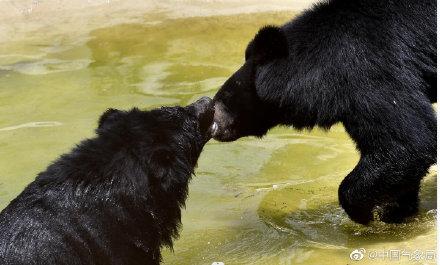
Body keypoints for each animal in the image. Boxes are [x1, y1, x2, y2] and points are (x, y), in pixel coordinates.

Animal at [213, 0, 436, 224]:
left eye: (225, 97)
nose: (215, 125)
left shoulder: (368, 73)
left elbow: (408, 141)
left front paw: (365, 214)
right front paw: (396, 210)